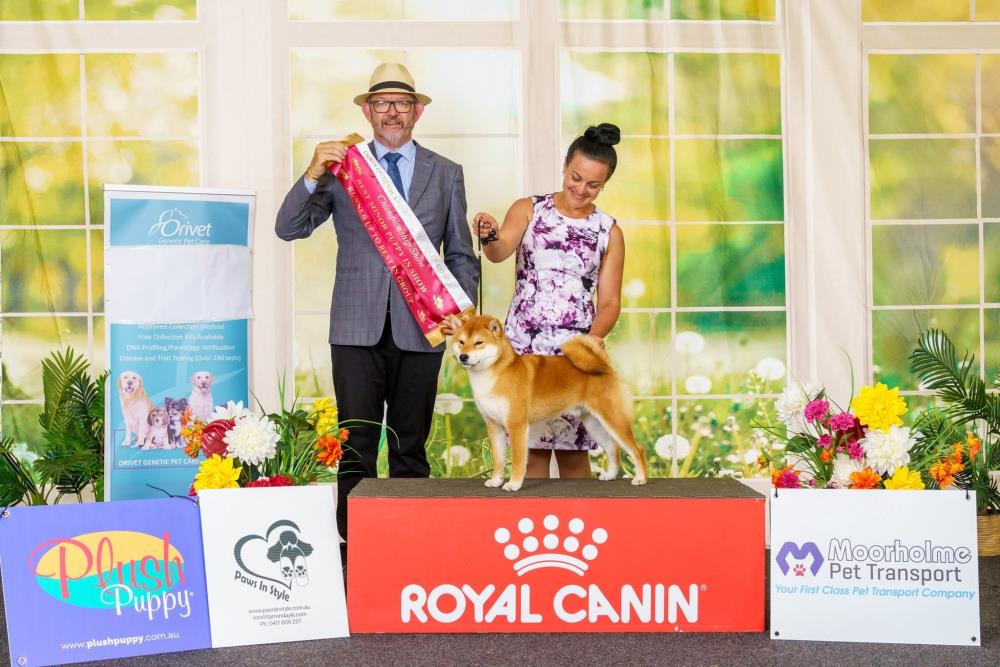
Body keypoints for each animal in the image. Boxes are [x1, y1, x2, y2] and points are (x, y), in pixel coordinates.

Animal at [449, 314, 648, 492]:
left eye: (478, 342)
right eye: (461, 342)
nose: (464, 356)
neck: (496, 374)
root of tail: (605, 367)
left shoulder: (516, 425)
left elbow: (518, 461)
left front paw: (513, 484)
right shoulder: (494, 426)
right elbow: (498, 460)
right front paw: (496, 480)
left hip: (613, 419)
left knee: (636, 450)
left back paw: (640, 479)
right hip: (593, 424)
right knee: (613, 448)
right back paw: (610, 475)